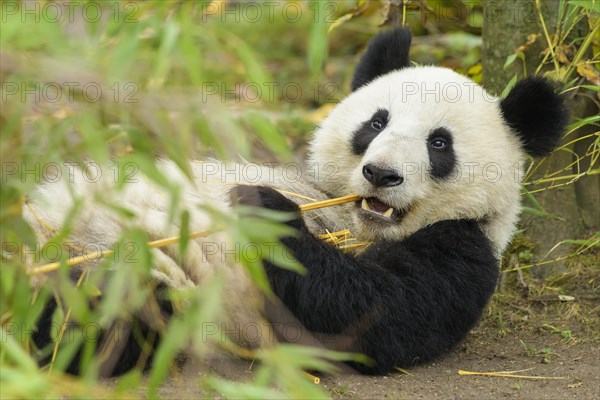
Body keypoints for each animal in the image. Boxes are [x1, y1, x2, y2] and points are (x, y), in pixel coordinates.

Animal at [25, 28, 564, 376]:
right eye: (376, 122)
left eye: (439, 144)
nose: (380, 174)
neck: (350, 218)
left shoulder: (464, 248)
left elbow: (380, 311)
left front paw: (264, 210)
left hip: (164, 295)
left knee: (107, 320)